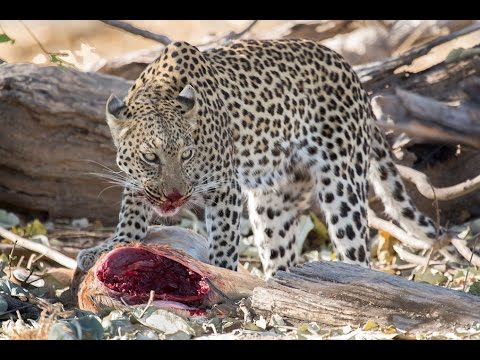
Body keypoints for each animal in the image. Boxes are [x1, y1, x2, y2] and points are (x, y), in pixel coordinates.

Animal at [76, 38, 446, 278]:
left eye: (187, 154)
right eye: (150, 157)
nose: (176, 196)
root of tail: (351, 71)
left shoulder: (224, 188)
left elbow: (224, 240)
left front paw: (219, 272)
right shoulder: (137, 183)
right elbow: (131, 216)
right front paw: (112, 245)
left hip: (342, 185)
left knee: (355, 248)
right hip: (276, 200)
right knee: (280, 252)